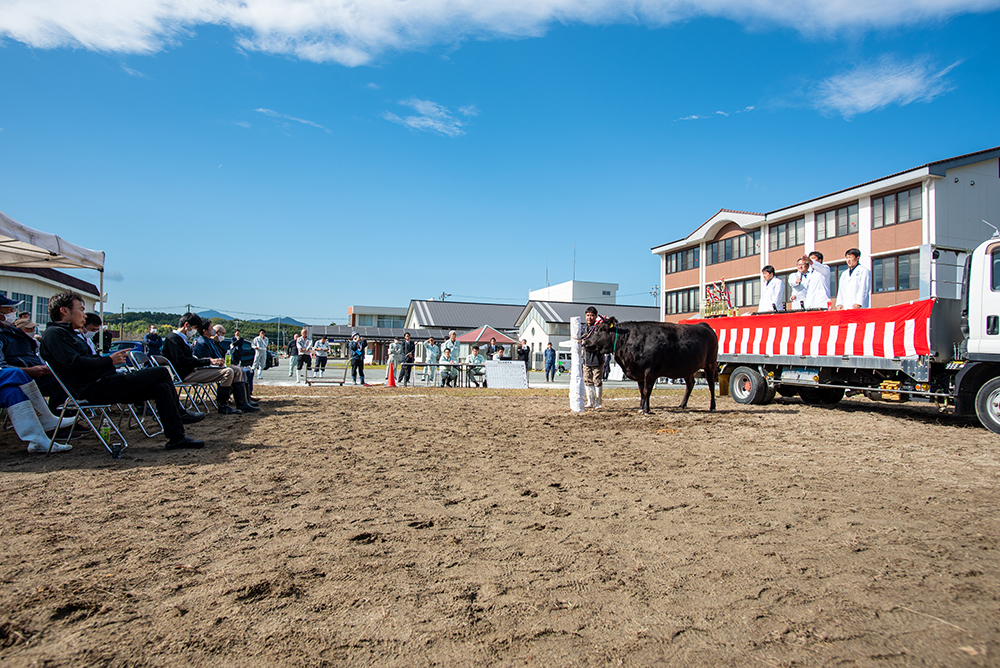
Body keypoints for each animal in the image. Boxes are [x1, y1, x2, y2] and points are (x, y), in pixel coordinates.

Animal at [580, 318, 720, 412]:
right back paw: (682, 405)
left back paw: (712, 407)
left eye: (599, 330)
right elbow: (642, 391)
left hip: (710, 364)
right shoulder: (639, 372)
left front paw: (646, 409)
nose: (584, 342)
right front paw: (641, 407)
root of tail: (704, 325)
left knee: (711, 385)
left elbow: (647, 390)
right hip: (688, 368)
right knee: (690, 384)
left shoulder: (651, 371)